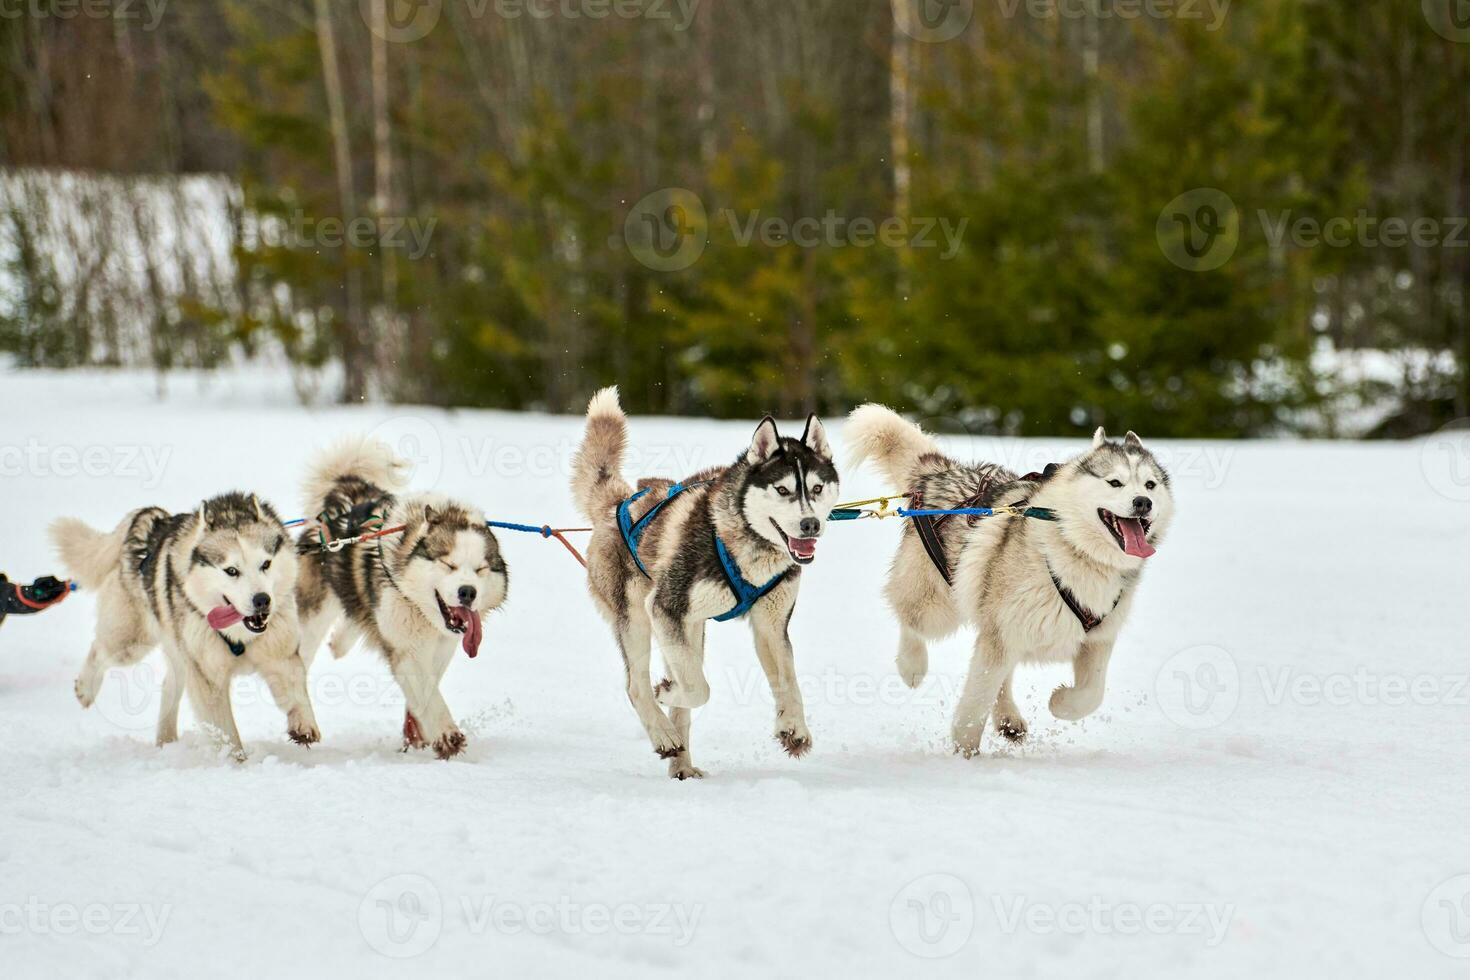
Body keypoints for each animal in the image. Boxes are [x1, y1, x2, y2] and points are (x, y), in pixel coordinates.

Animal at [51, 490, 318, 758]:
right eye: (231, 571)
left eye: (265, 564)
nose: (262, 600)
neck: (240, 637)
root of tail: (150, 518)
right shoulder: (207, 678)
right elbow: (226, 734)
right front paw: (237, 763)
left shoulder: (280, 654)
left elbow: (297, 689)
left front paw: (303, 724)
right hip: (131, 644)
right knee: (100, 650)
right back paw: (85, 689)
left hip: (180, 653)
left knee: (169, 685)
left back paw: (165, 741)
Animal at [292, 440, 511, 764]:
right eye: (448, 564)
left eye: (481, 569)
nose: (467, 592)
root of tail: (348, 490)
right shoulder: (407, 649)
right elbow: (429, 694)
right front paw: (447, 734)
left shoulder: (439, 647)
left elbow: (425, 690)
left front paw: (418, 733)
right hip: (313, 614)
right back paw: (303, 722)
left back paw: (341, 640)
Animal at [567, 387, 840, 775]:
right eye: (783, 490)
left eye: (817, 488)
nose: (810, 525)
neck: (744, 543)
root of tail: (617, 504)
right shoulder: (665, 606)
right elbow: (699, 689)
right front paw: (665, 691)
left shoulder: (770, 625)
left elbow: (788, 679)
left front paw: (794, 728)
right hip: (638, 618)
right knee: (637, 686)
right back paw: (664, 733)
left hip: (688, 631)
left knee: (679, 696)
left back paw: (681, 765)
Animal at [852, 405, 1170, 758]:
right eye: (1115, 482)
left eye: (1150, 484)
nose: (1143, 502)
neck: (1078, 552)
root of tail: (940, 472)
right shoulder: (1002, 634)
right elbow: (976, 701)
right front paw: (965, 753)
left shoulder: (1097, 639)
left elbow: (1091, 694)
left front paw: (1060, 702)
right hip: (937, 607)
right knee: (911, 621)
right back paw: (912, 666)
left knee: (1001, 676)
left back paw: (1008, 719)